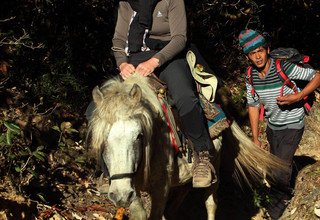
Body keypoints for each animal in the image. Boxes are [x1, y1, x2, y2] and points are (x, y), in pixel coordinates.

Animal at [88, 73, 290, 218]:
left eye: (139, 136)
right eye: (103, 140)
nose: (119, 195)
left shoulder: (160, 188)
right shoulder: (133, 189)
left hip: (214, 167)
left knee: (210, 203)